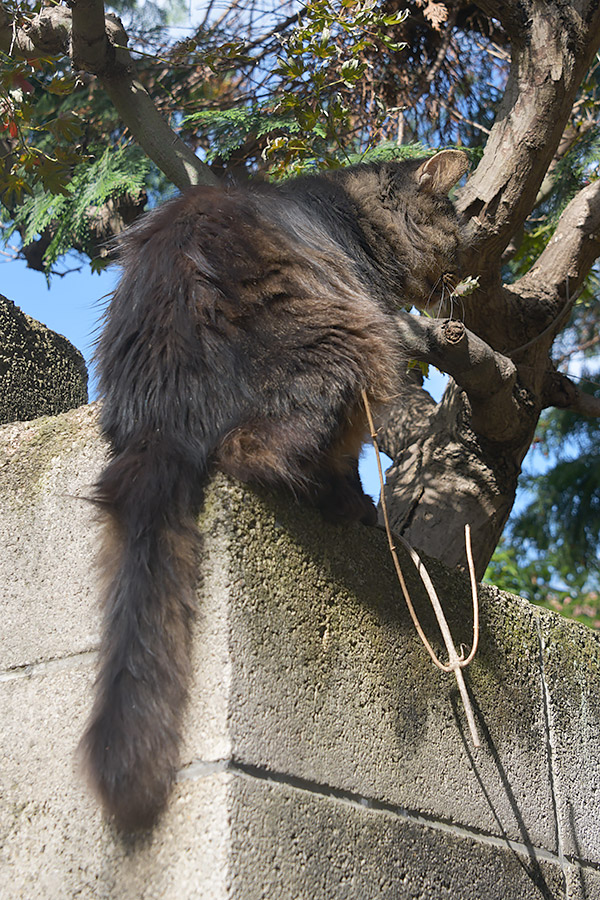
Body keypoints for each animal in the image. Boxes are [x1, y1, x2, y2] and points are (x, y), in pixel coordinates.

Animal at [81, 148, 468, 828]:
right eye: (453, 223)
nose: (471, 262)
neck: (350, 214)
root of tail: (163, 418)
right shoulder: (371, 307)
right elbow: (351, 449)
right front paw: (358, 501)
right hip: (353, 340)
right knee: (258, 452)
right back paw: (346, 505)